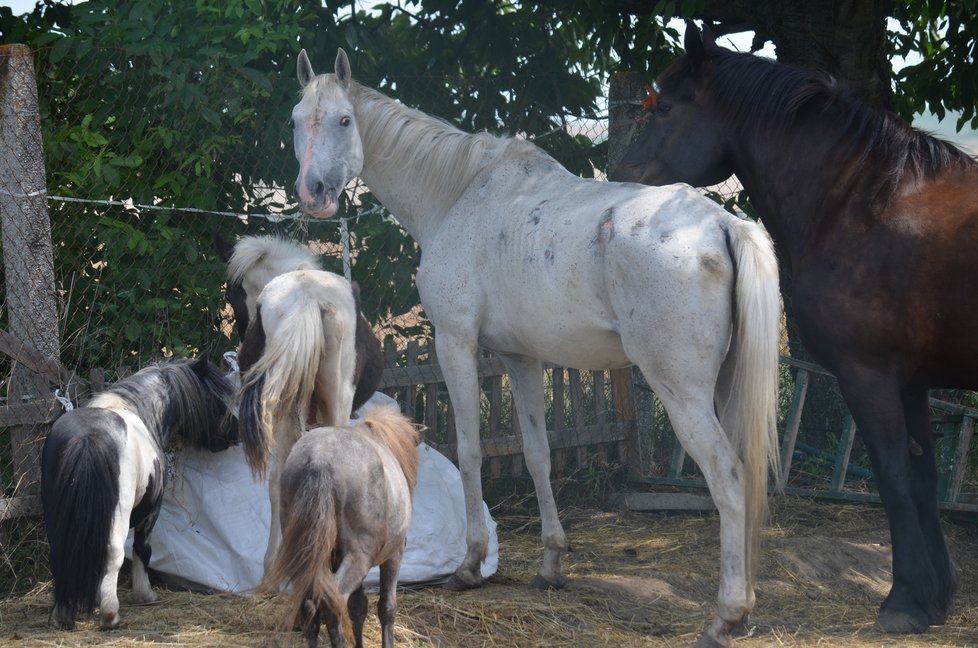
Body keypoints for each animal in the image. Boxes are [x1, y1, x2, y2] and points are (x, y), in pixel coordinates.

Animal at [39, 356, 238, 632]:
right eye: (217, 401)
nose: (235, 433)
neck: (140, 410)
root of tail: (88, 437)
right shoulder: (151, 513)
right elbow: (142, 550)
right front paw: (145, 594)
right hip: (118, 515)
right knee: (113, 553)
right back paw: (110, 615)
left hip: (57, 517)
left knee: (60, 553)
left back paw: (63, 615)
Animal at [262, 402, 418, 644]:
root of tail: (319, 459)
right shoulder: (394, 554)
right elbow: (386, 607)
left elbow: (358, 607)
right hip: (358, 557)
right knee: (332, 604)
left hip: (308, 560)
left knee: (310, 607)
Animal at [608, 21, 976, 636]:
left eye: (667, 108)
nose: (622, 177)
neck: (864, 203)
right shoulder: (912, 382)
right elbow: (923, 481)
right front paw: (935, 597)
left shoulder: (870, 377)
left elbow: (895, 480)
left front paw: (903, 601)